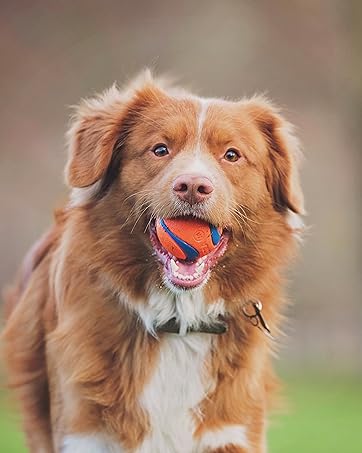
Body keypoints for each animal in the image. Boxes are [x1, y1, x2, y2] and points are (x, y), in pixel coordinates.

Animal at [2, 69, 304, 448]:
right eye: (160, 149)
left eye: (232, 155)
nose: (193, 186)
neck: (178, 320)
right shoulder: (82, 432)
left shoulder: (233, 432)